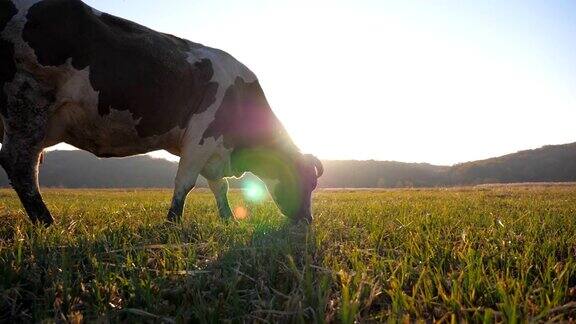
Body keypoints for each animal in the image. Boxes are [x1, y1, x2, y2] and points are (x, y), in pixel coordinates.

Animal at [0, 0, 324, 227]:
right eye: (310, 182)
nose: (307, 221)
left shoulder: (215, 151)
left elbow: (220, 186)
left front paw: (228, 219)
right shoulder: (201, 135)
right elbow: (186, 182)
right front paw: (172, 223)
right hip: (27, 101)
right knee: (21, 164)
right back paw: (47, 222)